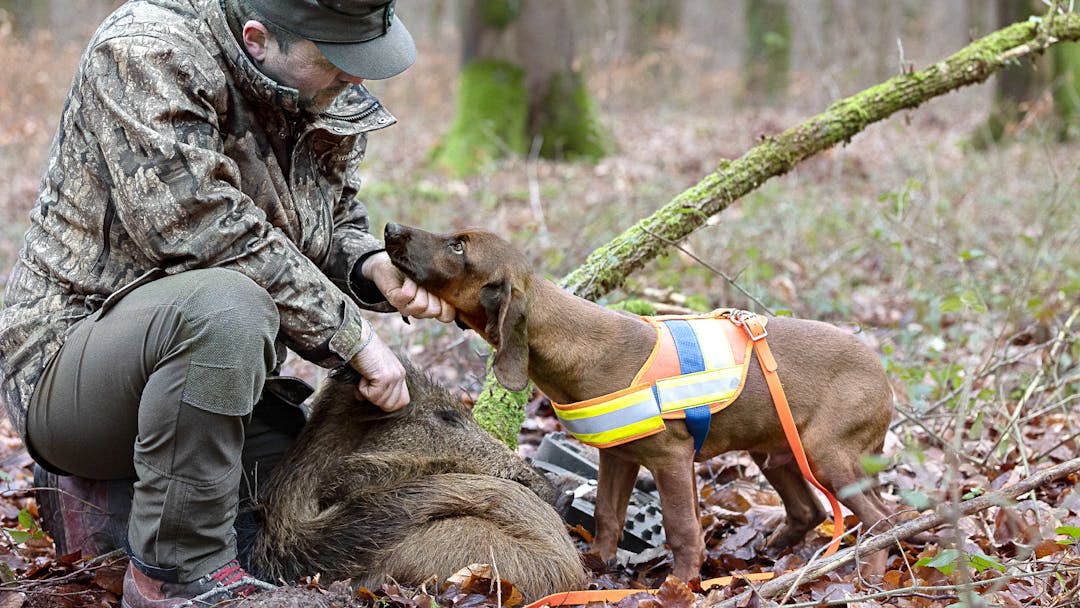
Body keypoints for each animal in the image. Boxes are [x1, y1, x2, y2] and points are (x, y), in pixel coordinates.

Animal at [384, 222, 898, 578]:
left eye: (459, 247)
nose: (390, 229)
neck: (577, 344)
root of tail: (882, 373)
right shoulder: (618, 455)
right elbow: (608, 515)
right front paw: (599, 565)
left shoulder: (671, 459)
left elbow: (682, 527)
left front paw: (683, 582)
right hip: (776, 451)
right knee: (812, 511)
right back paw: (768, 555)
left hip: (828, 455)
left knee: (884, 519)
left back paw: (869, 573)